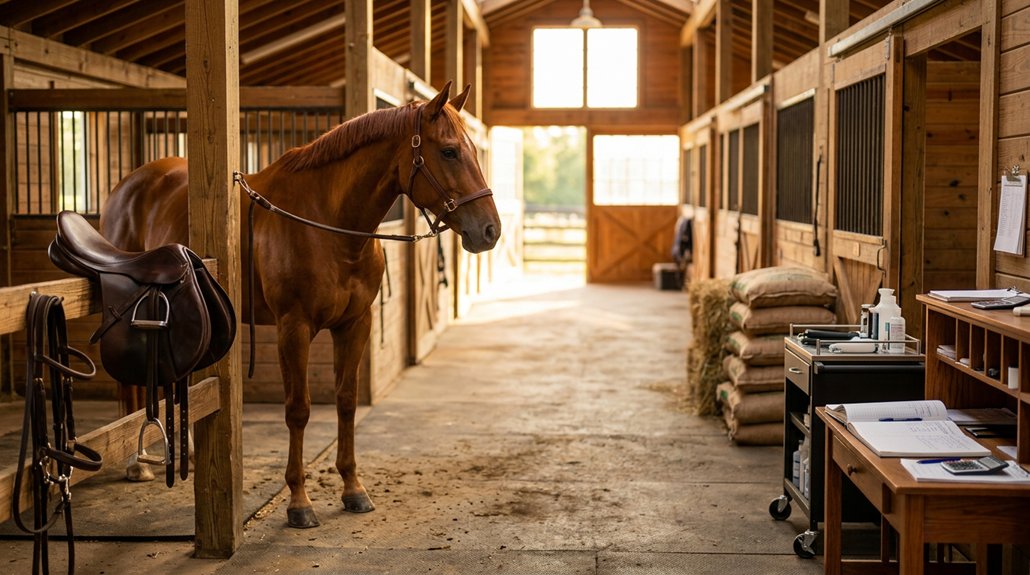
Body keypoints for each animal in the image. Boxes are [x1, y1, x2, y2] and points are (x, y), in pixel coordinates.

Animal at [99, 82, 501, 528]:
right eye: (449, 151)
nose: (490, 230)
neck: (328, 223)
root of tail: (130, 185)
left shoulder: (355, 324)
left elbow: (346, 402)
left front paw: (353, 488)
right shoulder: (295, 328)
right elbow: (298, 409)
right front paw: (299, 501)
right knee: (131, 382)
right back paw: (137, 463)